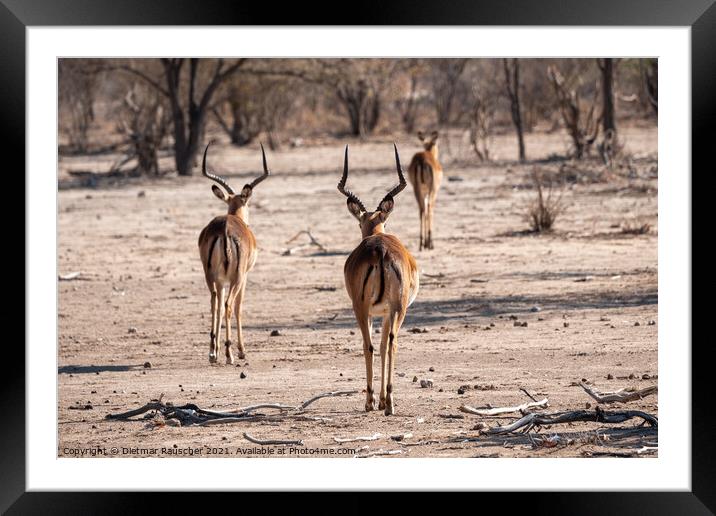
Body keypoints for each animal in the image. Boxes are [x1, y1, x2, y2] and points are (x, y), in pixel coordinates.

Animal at [197, 143, 270, 364]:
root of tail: (225, 229)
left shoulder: (221, 280)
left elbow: (219, 308)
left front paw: (216, 350)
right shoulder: (244, 276)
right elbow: (238, 307)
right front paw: (240, 350)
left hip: (210, 276)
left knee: (215, 303)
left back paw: (213, 353)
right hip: (236, 277)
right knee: (229, 305)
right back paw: (230, 354)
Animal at [340, 142, 420, 416]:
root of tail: (380, 250)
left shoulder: (378, 312)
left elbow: (379, 345)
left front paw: (377, 400)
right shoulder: (386, 311)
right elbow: (385, 345)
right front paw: (384, 399)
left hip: (363, 308)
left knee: (372, 346)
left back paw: (372, 401)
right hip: (397, 307)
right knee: (390, 344)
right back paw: (389, 403)